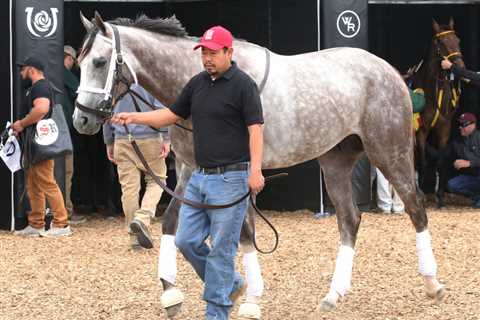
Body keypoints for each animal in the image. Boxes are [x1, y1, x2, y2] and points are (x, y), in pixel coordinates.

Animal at [74, 11, 446, 318]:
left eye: (100, 61)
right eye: (79, 62)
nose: (82, 119)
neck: (200, 84)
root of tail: (389, 70)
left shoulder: (240, 175)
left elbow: (245, 234)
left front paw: (250, 299)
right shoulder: (189, 170)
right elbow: (172, 224)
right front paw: (173, 293)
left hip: (389, 151)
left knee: (415, 207)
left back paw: (433, 284)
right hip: (336, 160)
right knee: (350, 220)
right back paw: (334, 294)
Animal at [410, 18, 464, 208]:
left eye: (457, 40)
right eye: (441, 42)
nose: (460, 67)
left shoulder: (444, 128)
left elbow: (440, 160)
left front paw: (440, 197)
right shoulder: (421, 130)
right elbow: (423, 162)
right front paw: (421, 195)